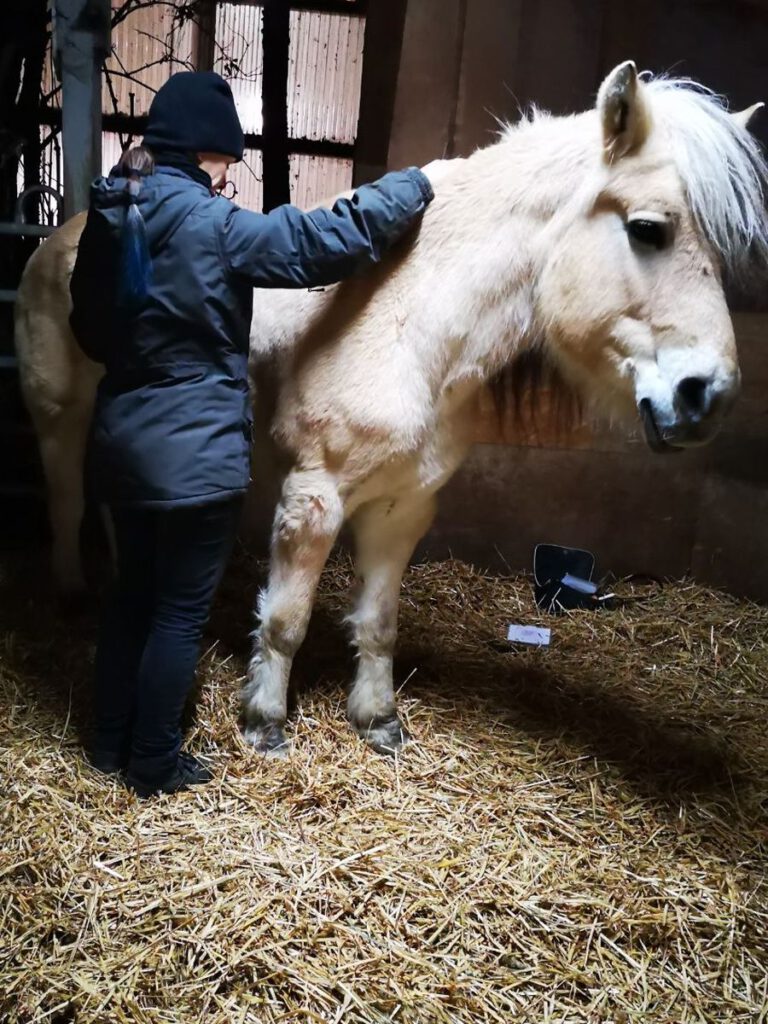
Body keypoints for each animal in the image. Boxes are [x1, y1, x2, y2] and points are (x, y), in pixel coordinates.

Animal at [14, 62, 768, 756]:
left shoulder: (404, 507)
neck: (411, 321)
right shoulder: (313, 500)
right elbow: (285, 620)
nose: (708, 395)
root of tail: (59, 237)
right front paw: (264, 721)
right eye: (648, 229)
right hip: (58, 420)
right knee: (66, 500)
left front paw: (377, 719)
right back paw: (74, 593)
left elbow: (378, 623)